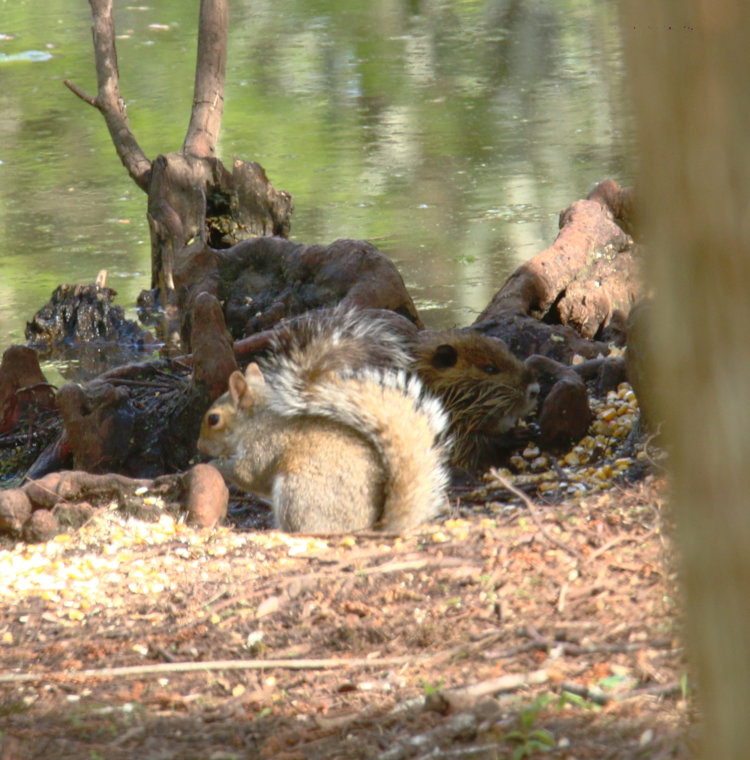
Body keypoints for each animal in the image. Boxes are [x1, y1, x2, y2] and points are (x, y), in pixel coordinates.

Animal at [197, 307, 451, 533]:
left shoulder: (264, 446)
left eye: (214, 419)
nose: (200, 446)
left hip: (297, 492)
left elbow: (247, 473)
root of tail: (370, 527)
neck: (256, 420)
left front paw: (215, 465)